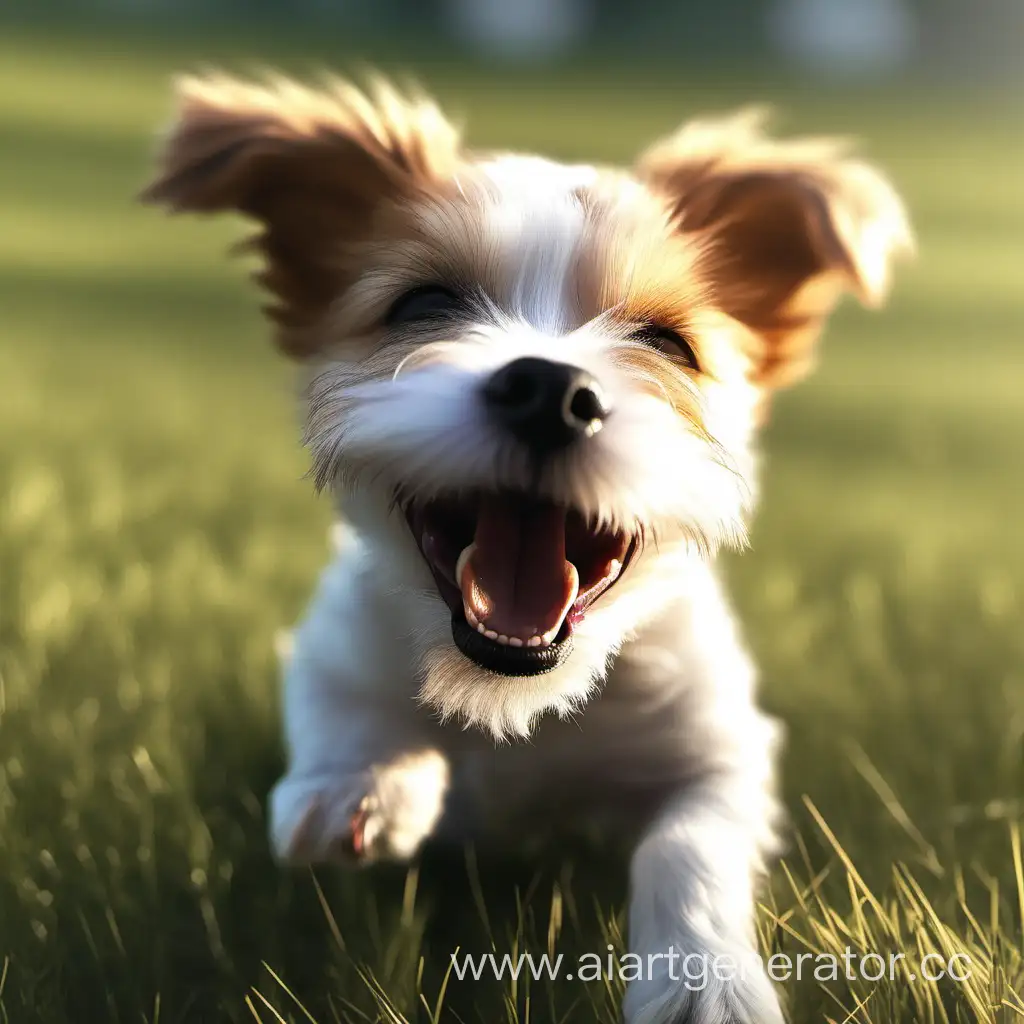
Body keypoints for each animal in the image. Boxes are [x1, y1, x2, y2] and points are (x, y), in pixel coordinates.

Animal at [144, 77, 913, 1024]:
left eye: (667, 343)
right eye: (422, 306)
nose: (550, 388)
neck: (513, 696)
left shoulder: (722, 745)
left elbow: (688, 840)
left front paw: (703, 982)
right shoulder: (336, 637)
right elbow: (341, 701)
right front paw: (361, 780)